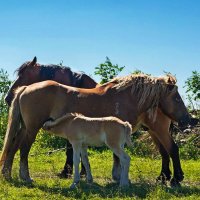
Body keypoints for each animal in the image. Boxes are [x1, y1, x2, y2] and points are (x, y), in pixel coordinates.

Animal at [0, 74, 192, 186]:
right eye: (176, 98)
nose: (188, 120)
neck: (126, 97)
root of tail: (26, 88)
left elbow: (116, 157)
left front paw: (117, 177)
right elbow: (117, 157)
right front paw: (118, 177)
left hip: (25, 128)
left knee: (14, 147)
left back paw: (8, 175)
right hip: (32, 128)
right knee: (23, 149)